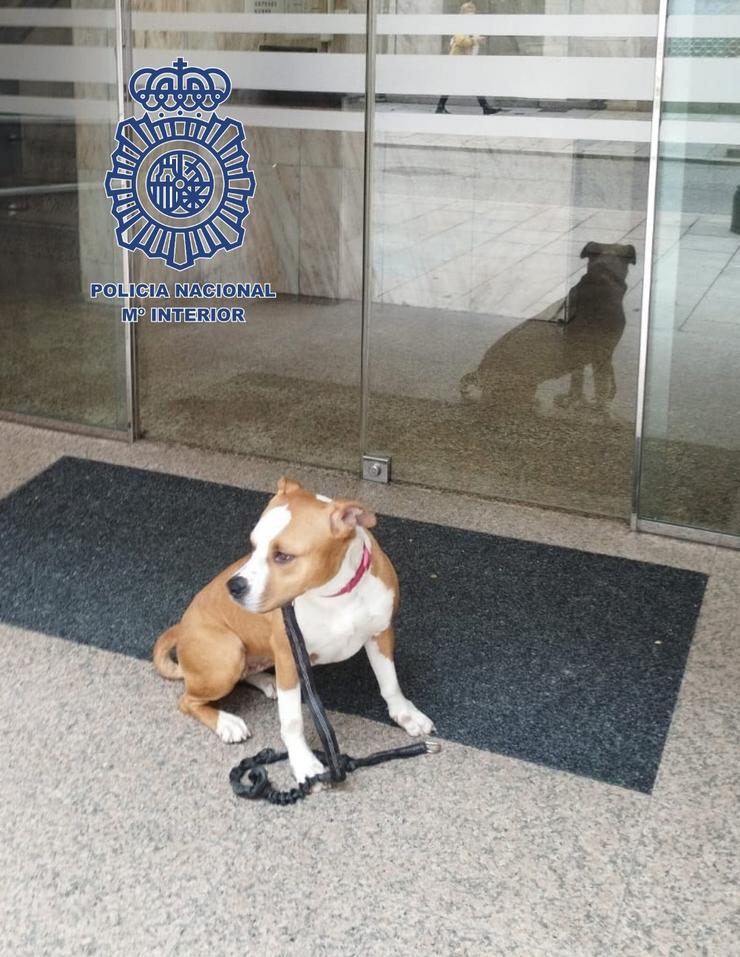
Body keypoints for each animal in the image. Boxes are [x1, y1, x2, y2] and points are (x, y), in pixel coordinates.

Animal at [153, 478, 436, 784]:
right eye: (252, 546)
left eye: (283, 556)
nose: (234, 586)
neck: (335, 593)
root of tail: (181, 628)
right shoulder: (289, 656)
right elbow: (291, 720)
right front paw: (303, 761)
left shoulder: (381, 634)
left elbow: (390, 683)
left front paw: (405, 714)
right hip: (227, 655)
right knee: (187, 700)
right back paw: (226, 722)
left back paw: (266, 682)